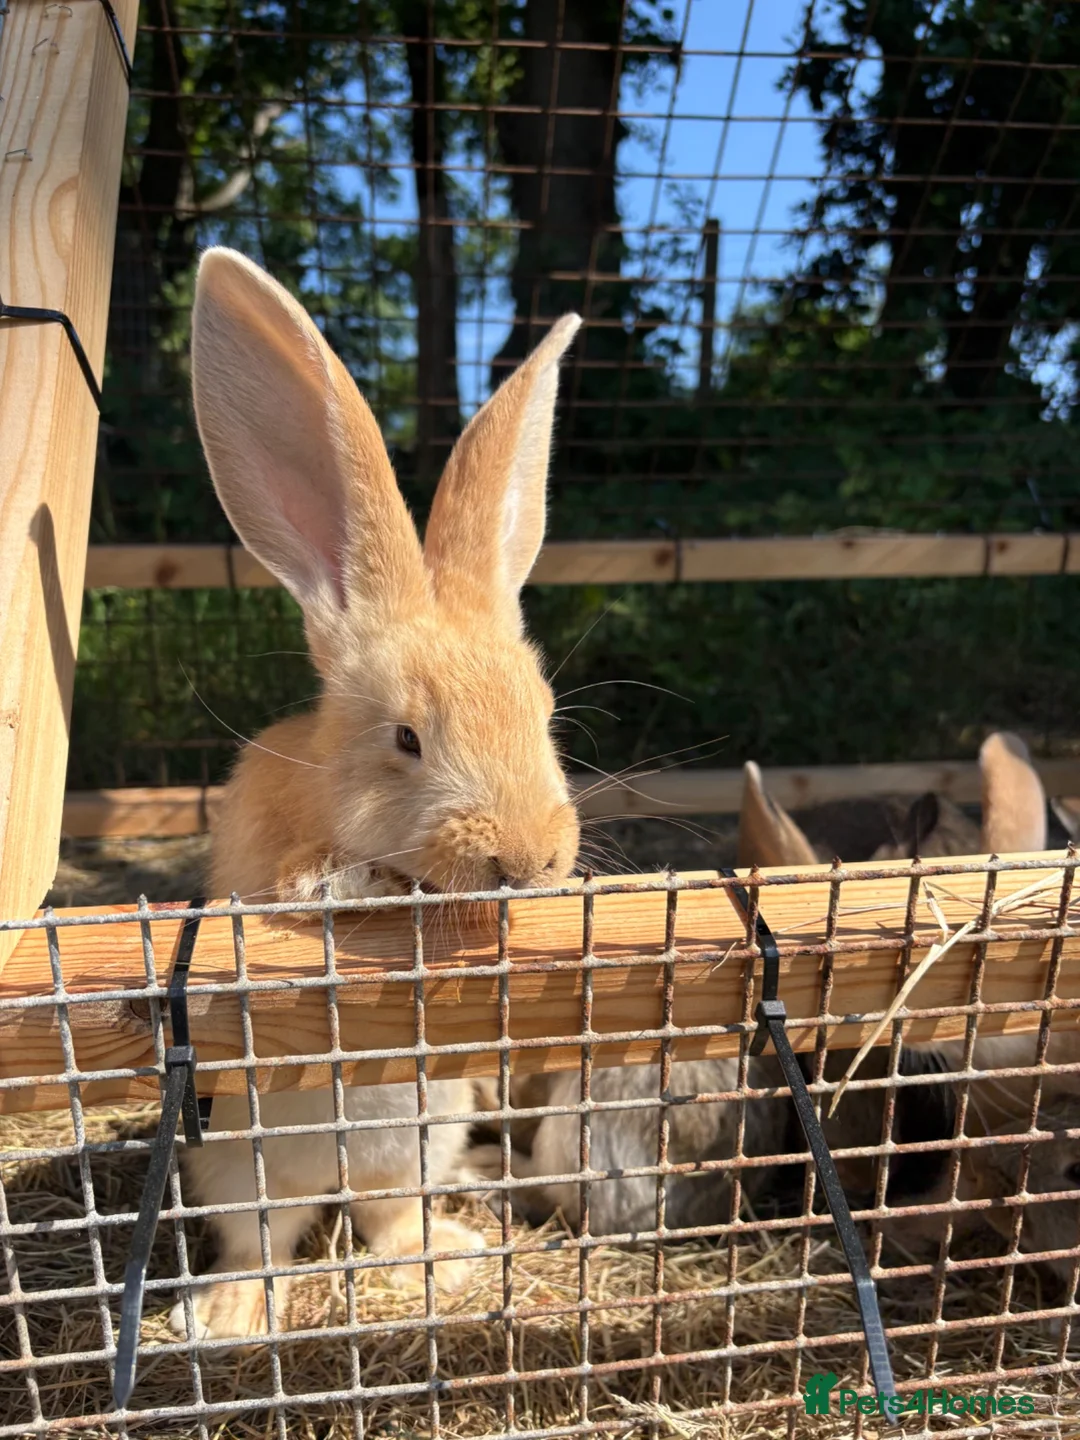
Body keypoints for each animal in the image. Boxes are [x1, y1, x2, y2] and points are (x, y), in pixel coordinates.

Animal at [172, 248, 583, 1341]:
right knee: (261, 1240)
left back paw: (450, 1260)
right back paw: (225, 1316)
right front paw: (371, 888)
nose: (530, 858)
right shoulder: (267, 859)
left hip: (421, 1135)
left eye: (545, 714)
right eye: (405, 737)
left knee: (386, 1220)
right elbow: (306, 889)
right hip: (243, 1162)